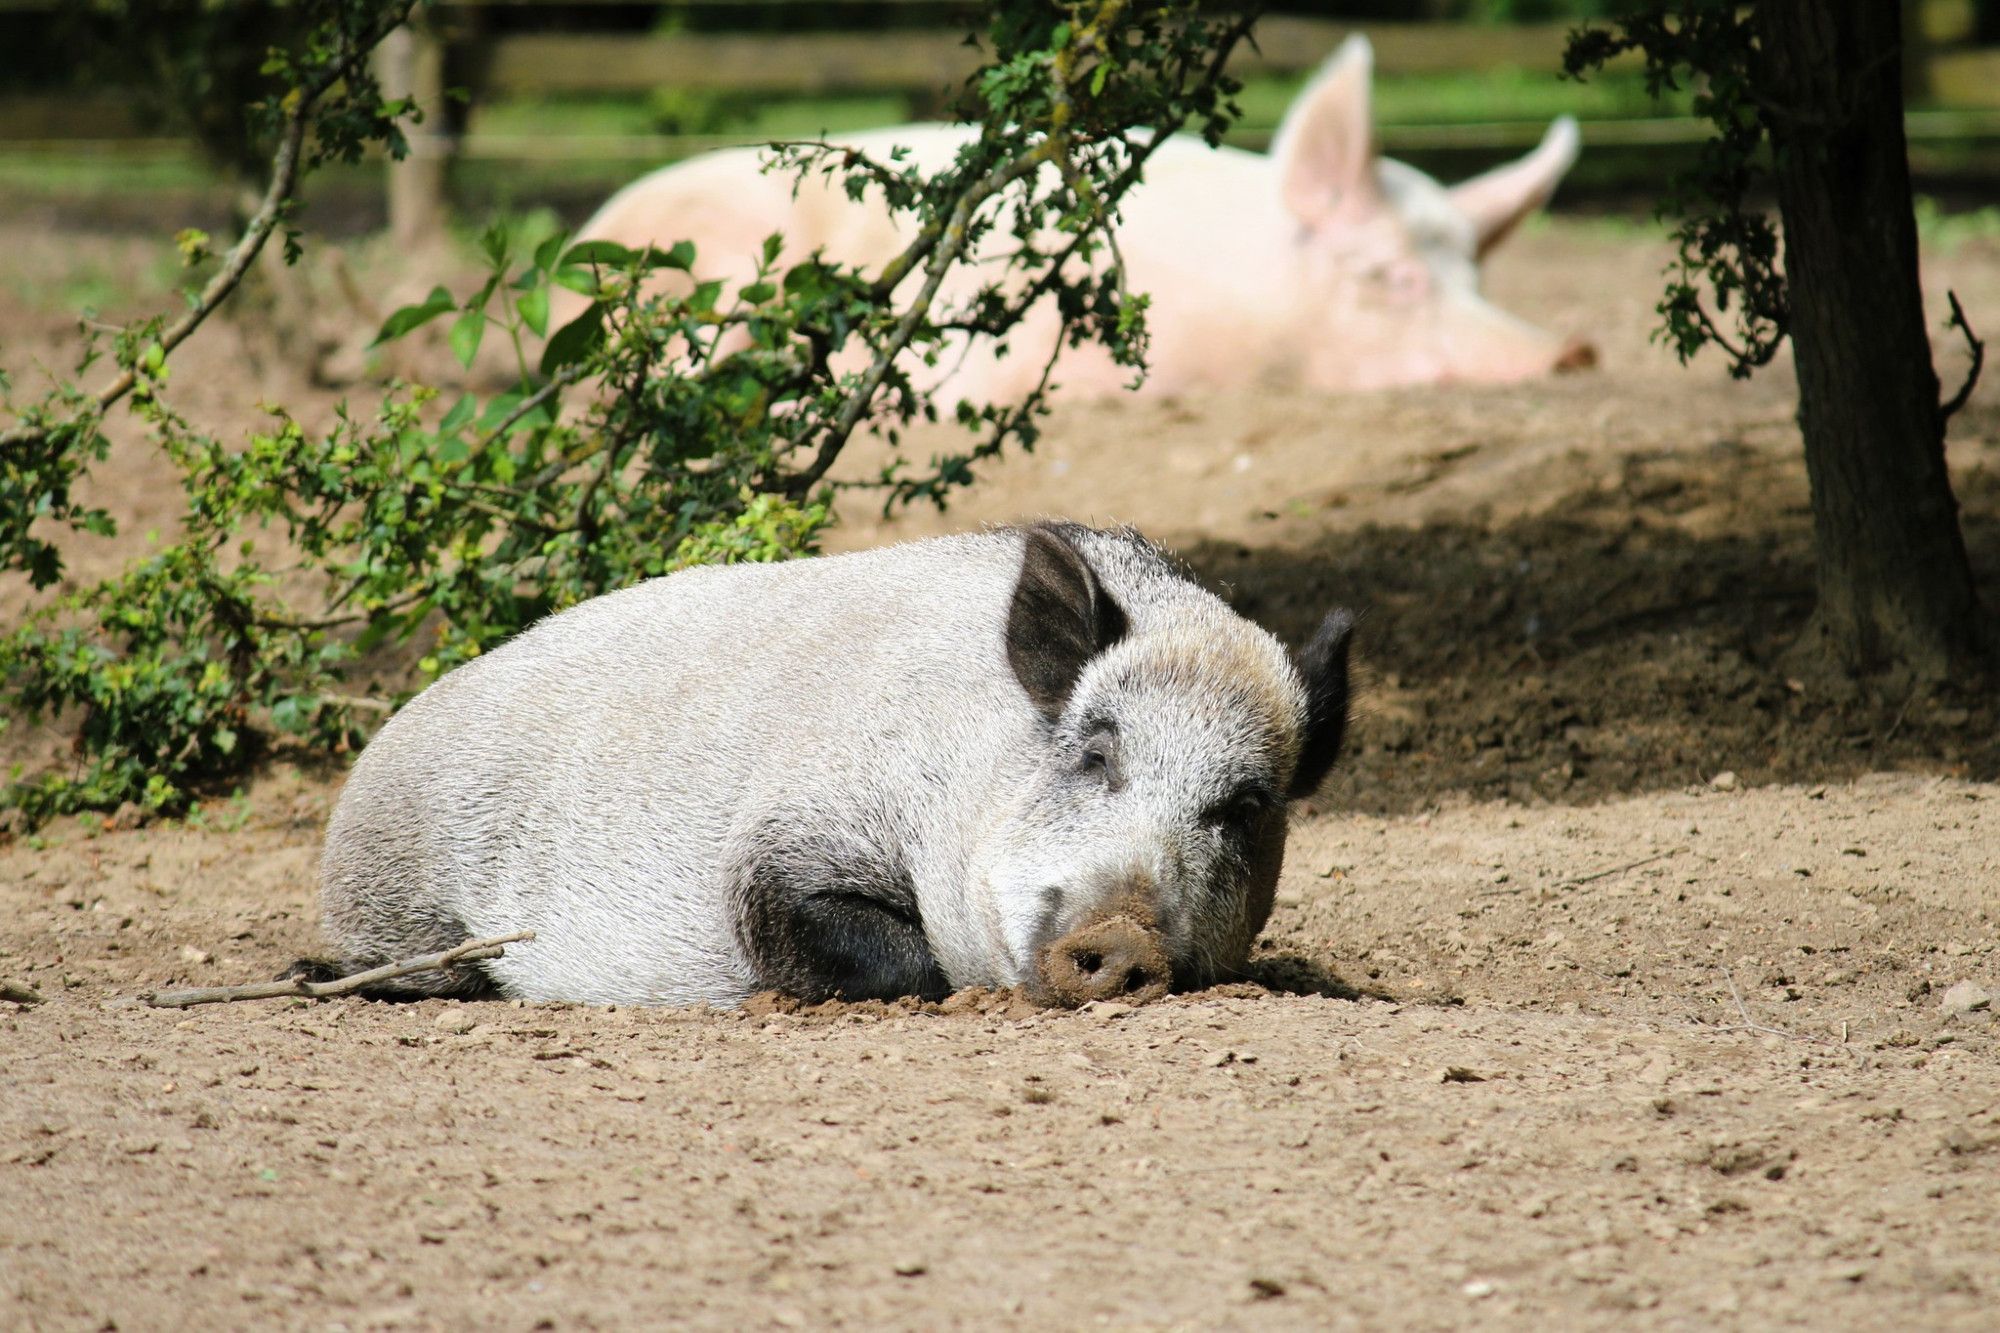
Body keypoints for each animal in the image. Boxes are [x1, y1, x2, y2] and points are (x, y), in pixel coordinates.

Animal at [304, 524, 1352, 1000]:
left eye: (1244, 806)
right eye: (1095, 752)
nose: (1125, 933)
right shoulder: (787, 832)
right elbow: (877, 949)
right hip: (402, 897)